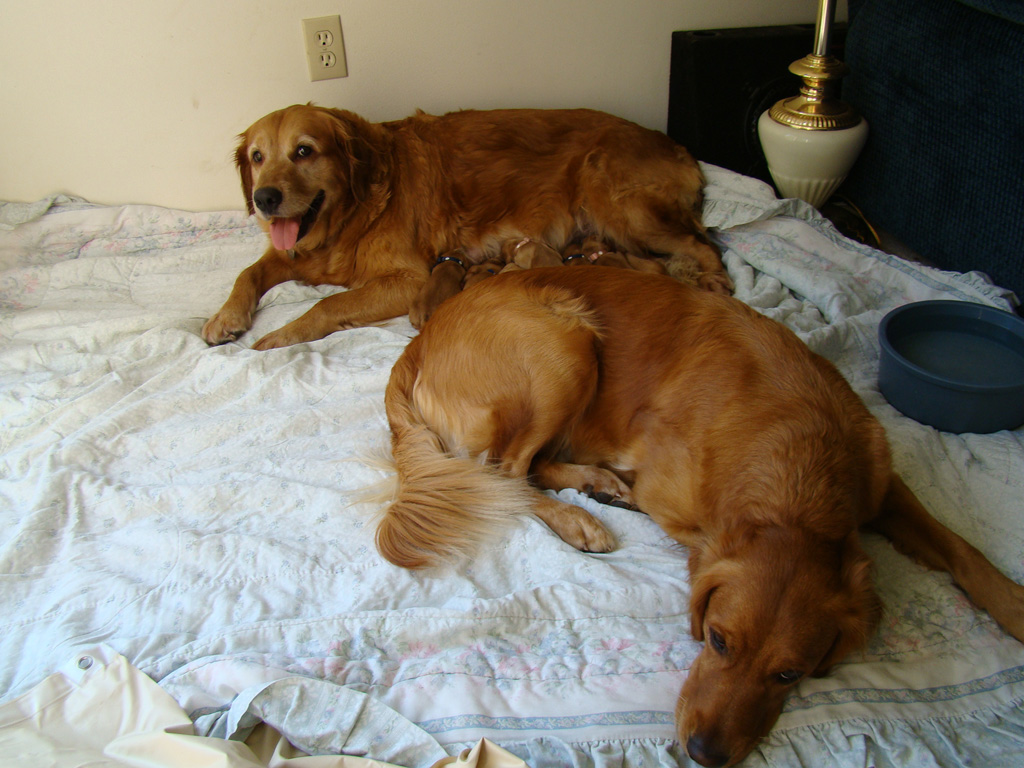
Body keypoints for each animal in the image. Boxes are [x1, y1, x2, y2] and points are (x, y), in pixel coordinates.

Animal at [199, 105, 729, 352]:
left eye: (304, 151)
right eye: (257, 157)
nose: (265, 199)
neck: (348, 214)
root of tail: (674, 143)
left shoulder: (409, 279)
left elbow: (329, 303)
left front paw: (280, 335)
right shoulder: (291, 253)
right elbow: (248, 272)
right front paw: (226, 317)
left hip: (619, 200)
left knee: (703, 244)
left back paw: (714, 284)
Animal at [380, 268, 1024, 768]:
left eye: (789, 675)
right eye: (716, 640)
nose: (704, 753)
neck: (799, 467)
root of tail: (421, 337)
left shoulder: (882, 481)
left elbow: (961, 547)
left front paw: (1013, 604)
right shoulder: (678, 501)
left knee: (527, 468)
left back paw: (595, 484)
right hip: (562, 344)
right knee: (509, 472)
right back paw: (581, 516)